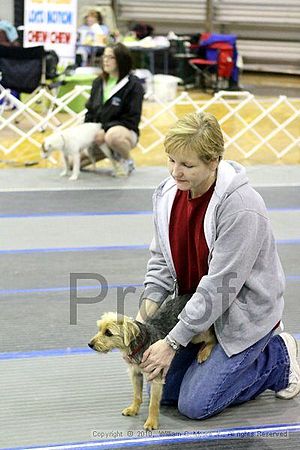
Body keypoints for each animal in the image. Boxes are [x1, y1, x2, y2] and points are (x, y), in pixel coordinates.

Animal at [88, 298, 216, 430]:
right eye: (99, 329)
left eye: (108, 333)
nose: (90, 344)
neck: (139, 344)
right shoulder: (135, 374)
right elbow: (137, 395)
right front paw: (133, 409)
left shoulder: (156, 379)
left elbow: (153, 404)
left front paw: (151, 422)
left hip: (197, 335)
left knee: (212, 338)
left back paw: (204, 353)